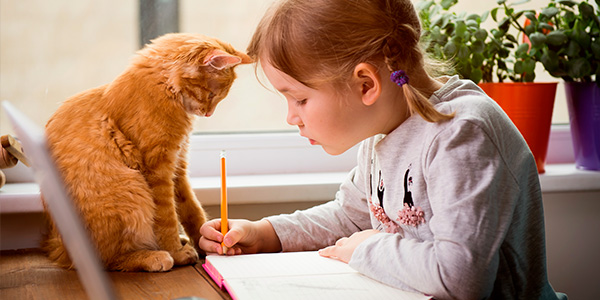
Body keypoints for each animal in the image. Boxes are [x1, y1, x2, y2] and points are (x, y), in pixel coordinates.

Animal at [40, 32, 251, 272]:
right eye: (211, 94)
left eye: (217, 97)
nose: (208, 113)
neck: (165, 90)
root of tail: (60, 249)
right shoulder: (158, 169)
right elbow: (167, 218)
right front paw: (176, 252)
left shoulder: (177, 167)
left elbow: (191, 211)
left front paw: (208, 241)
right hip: (131, 189)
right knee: (108, 259)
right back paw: (155, 257)